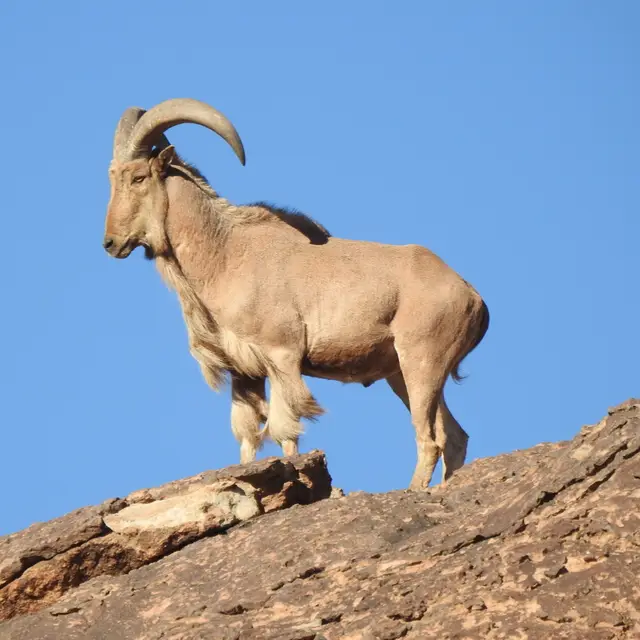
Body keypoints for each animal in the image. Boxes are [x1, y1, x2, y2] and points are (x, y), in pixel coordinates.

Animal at [103, 98, 489, 489]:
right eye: (111, 177)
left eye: (138, 177)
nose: (111, 243)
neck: (225, 253)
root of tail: (472, 297)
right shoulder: (244, 373)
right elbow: (247, 436)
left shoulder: (282, 356)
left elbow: (284, 430)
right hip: (404, 373)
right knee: (453, 436)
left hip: (421, 362)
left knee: (429, 439)